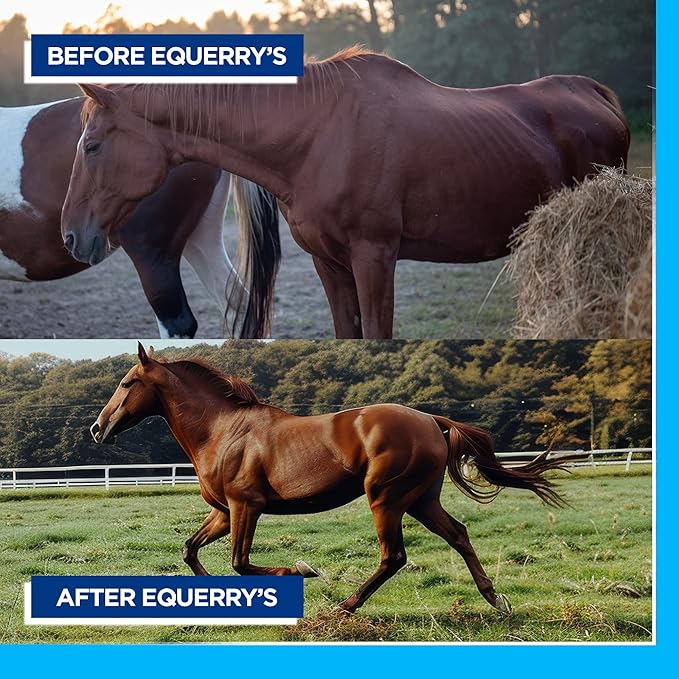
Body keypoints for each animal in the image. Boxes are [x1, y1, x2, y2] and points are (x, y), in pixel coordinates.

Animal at [1, 97, 280, 338]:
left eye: (91, 147)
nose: (70, 236)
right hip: (201, 240)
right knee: (240, 308)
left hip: (153, 257)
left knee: (178, 324)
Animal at [61, 47, 630, 339]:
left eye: (92, 145)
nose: (70, 236)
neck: (318, 134)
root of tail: (593, 92)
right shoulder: (329, 263)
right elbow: (348, 335)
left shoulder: (374, 257)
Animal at [90, 343, 566, 613]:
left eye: (127, 382)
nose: (97, 428)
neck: (223, 431)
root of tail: (432, 420)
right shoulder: (225, 512)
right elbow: (191, 551)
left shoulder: (247, 506)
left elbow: (240, 563)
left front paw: (303, 570)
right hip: (421, 500)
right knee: (460, 535)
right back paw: (495, 599)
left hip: (386, 499)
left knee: (394, 557)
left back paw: (345, 607)